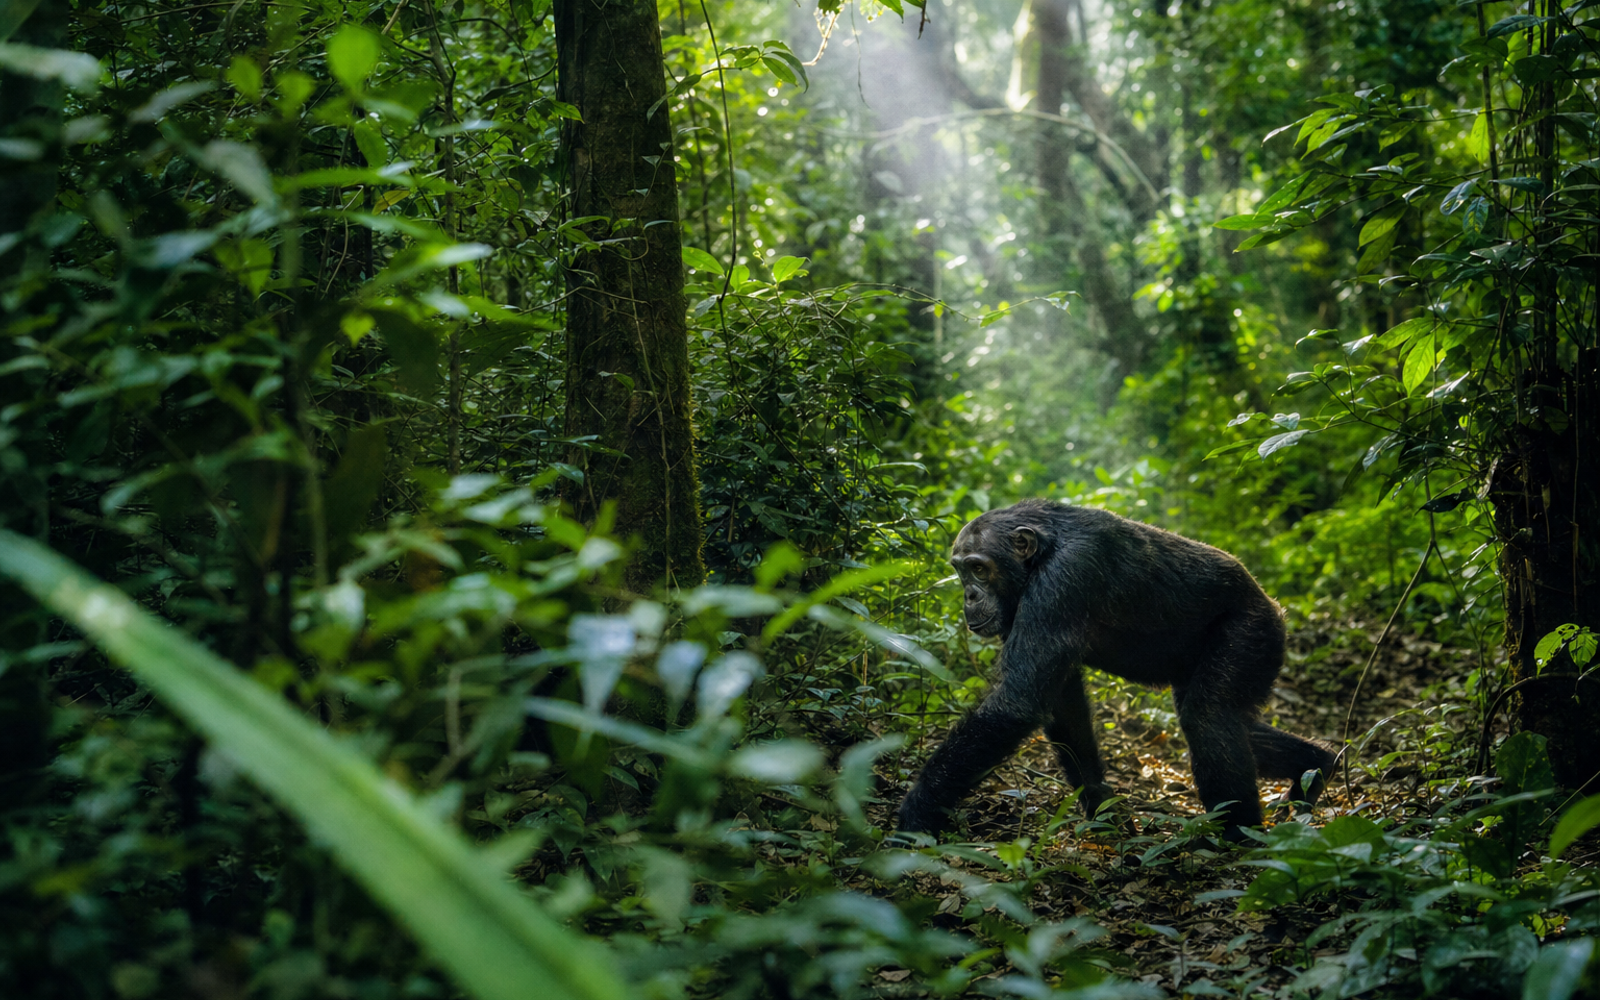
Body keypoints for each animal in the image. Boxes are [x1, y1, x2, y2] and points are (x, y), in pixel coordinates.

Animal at [896, 499, 1338, 840]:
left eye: (979, 568)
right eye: (960, 570)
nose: (969, 596)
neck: (1039, 556)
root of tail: (1276, 607)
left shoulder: (1066, 577)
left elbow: (1017, 703)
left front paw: (917, 810)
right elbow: (1061, 701)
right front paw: (1104, 810)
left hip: (1250, 634)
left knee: (1209, 718)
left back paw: (1237, 838)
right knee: (1235, 723)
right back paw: (1315, 768)